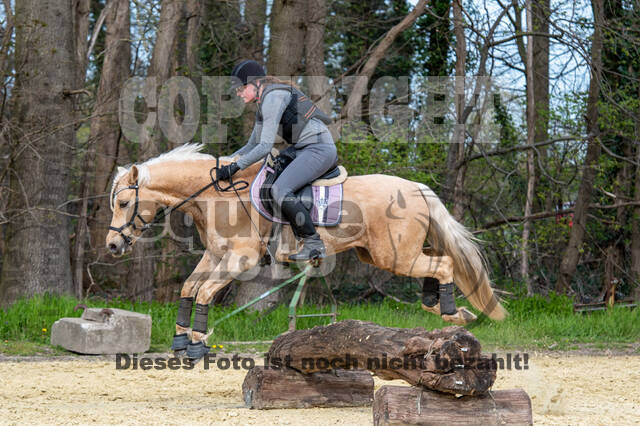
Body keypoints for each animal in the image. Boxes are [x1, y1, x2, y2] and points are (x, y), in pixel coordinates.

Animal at [105, 144, 504, 360]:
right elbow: (189, 289)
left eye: (123, 203)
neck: (216, 196)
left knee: (444, 263)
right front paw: (180, 340)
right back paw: (442, 308)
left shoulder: (240, 260)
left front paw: (198, 347)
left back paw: (451, 311)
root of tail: (417, 188)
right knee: (437, 262)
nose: (112, 245)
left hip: (395, 255)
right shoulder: (215, 256)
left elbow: (202, 292)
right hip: (381, 254)